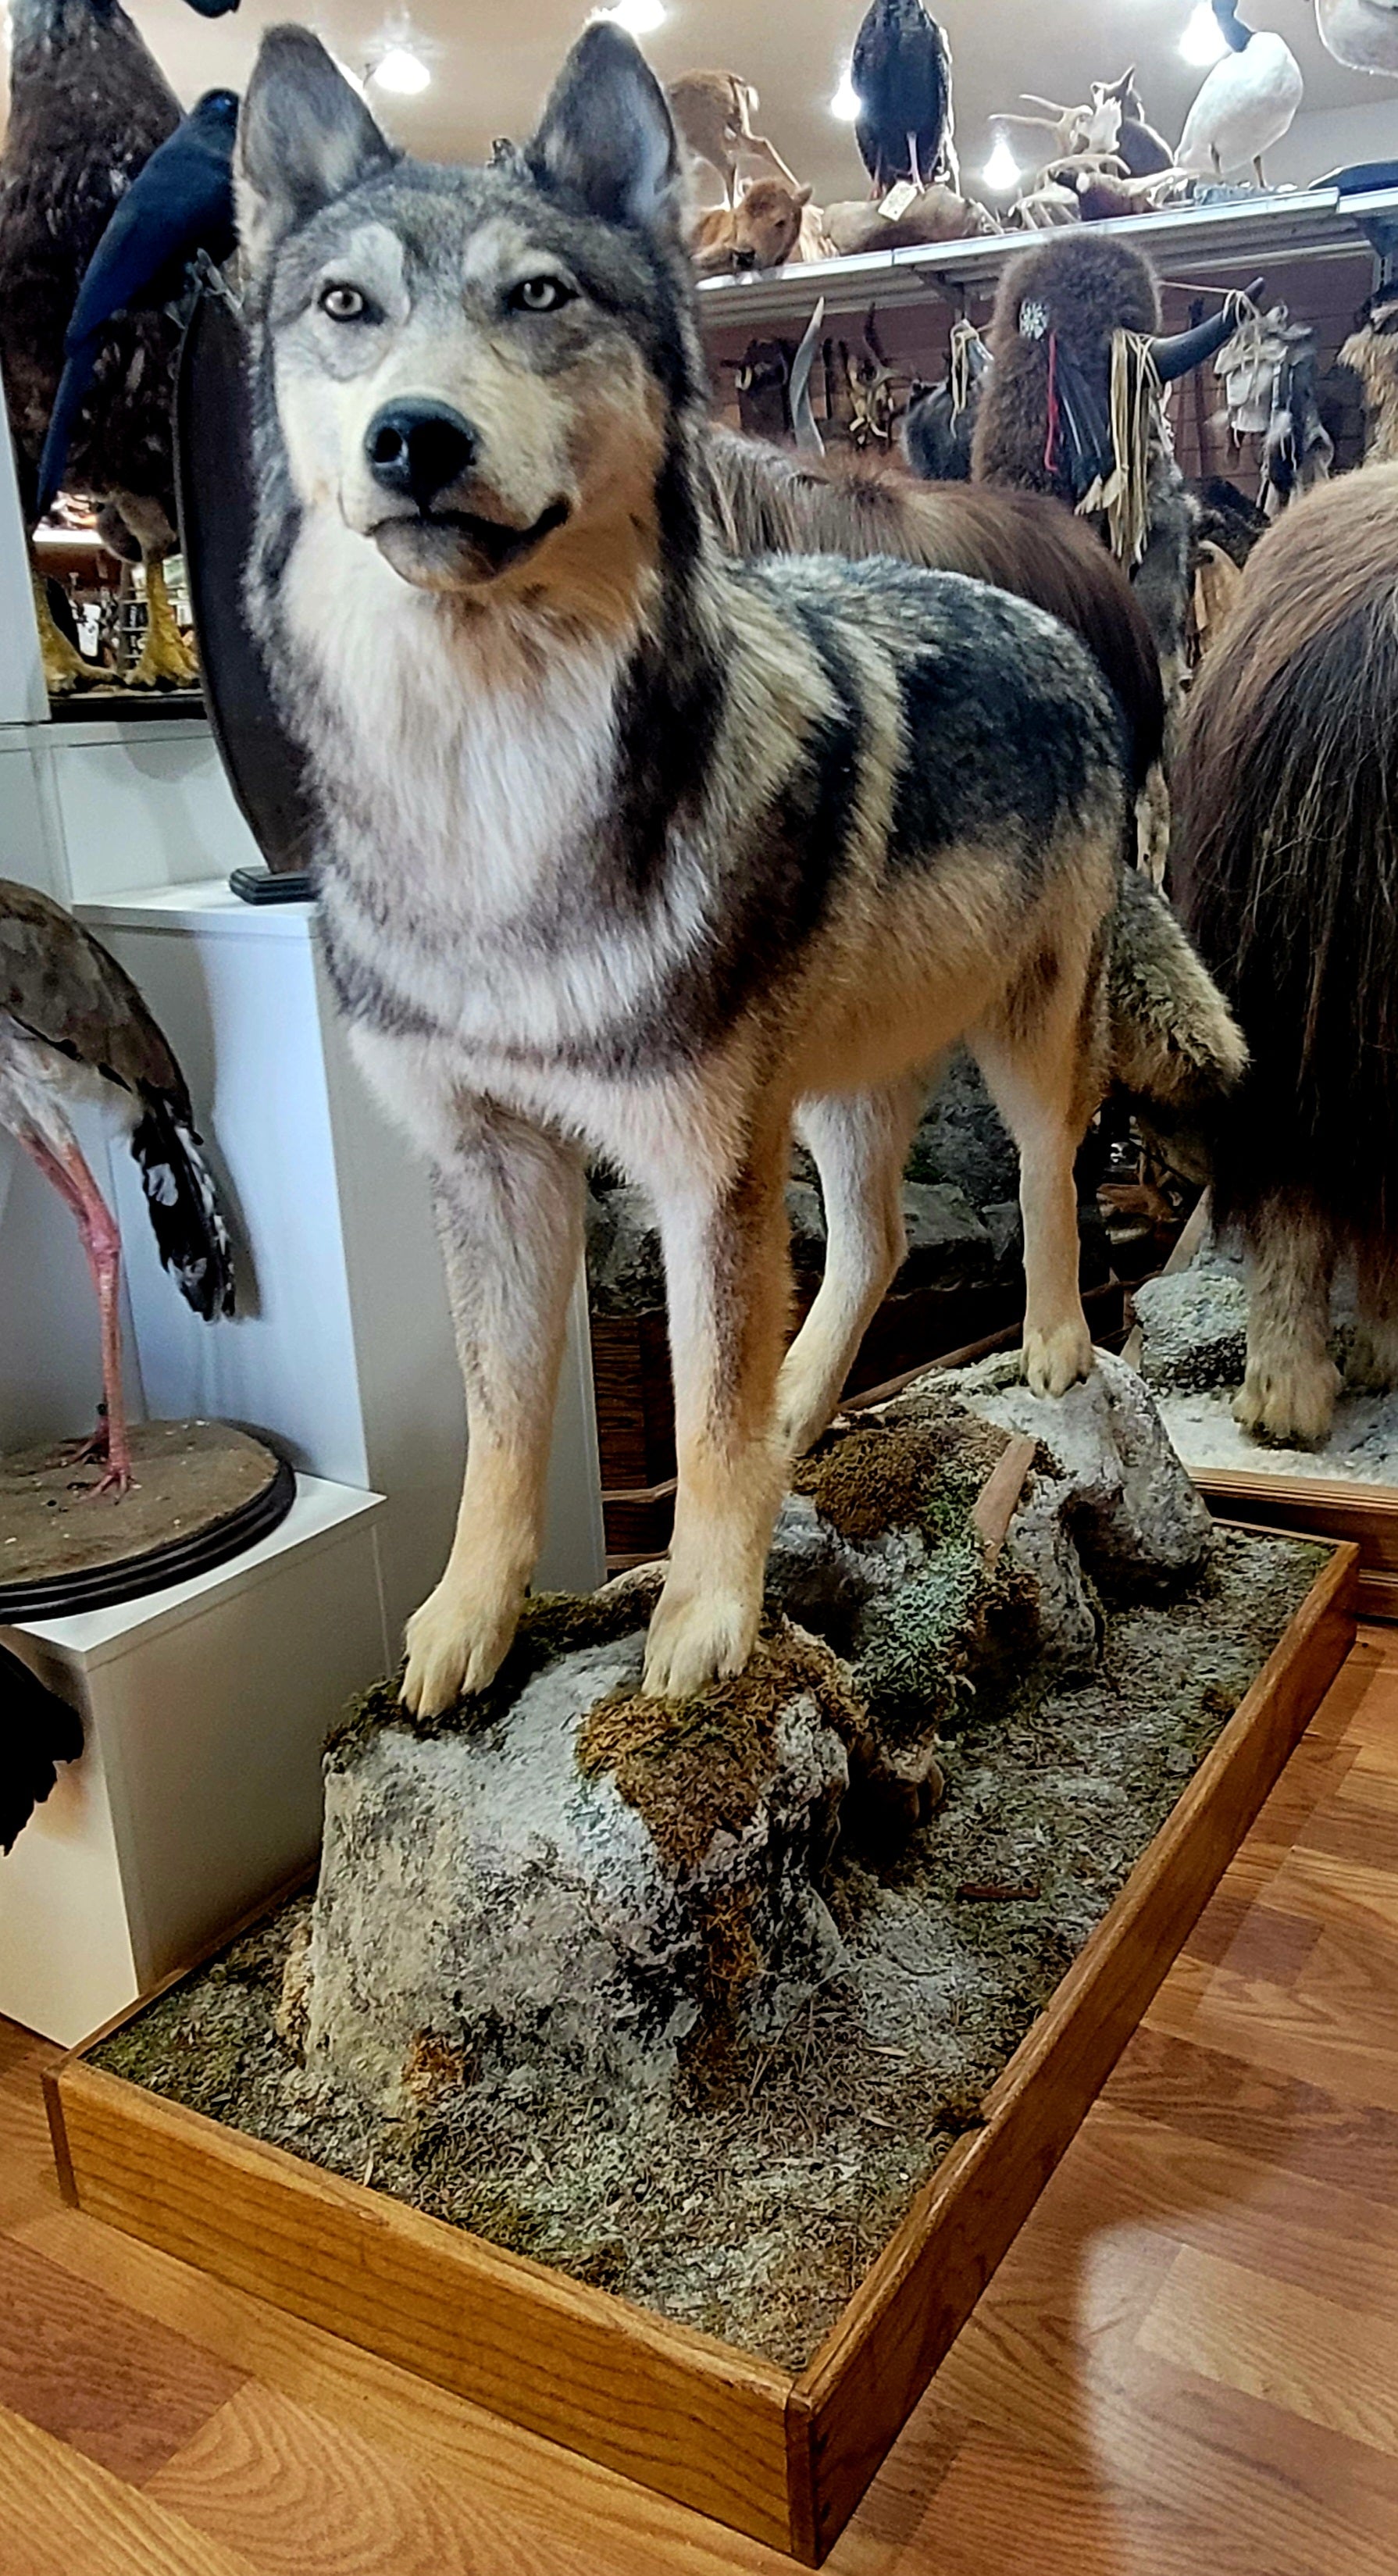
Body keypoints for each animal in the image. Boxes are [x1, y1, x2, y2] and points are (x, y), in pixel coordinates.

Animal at [234, 21, 1245, 1717]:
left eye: (539, 297)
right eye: (346, 308)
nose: (413, 436)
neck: (493, 789)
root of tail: (1053, 620)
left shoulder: (702, 1159)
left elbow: (697, 1408)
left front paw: (706, 1618)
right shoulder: (494, 1164)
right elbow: (506, 1426)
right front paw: (466, 1618)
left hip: (1017, 1040)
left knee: (1046, 1176)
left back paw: (1043, 1346)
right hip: (830, 1093)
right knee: (878, 1242)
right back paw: (800, 1422)